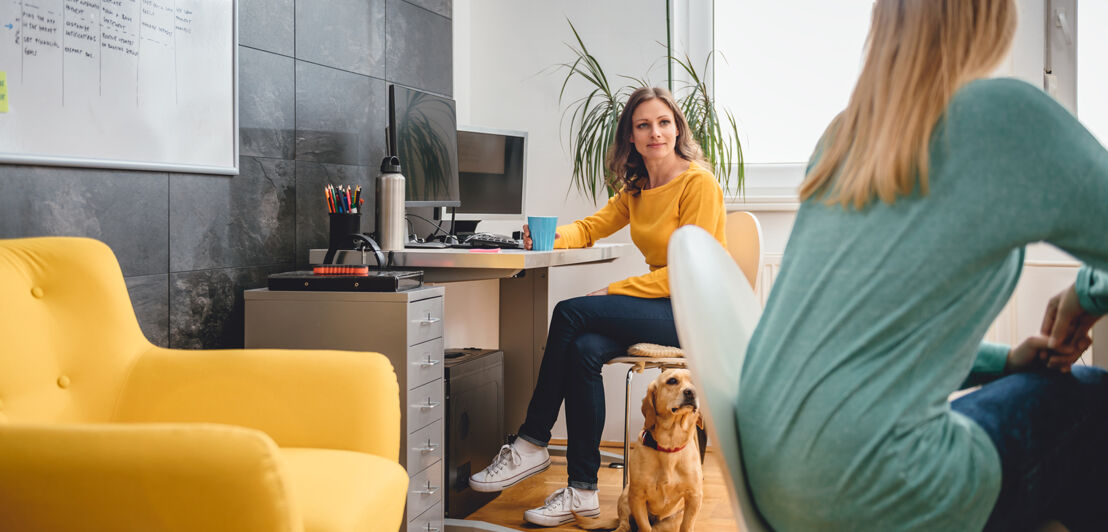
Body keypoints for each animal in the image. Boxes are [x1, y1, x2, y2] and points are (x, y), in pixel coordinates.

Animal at [580, 370, 700, 532]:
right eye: (672, 381)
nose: (691, 392)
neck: (669, 446)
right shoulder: (637, 497)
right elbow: (644, 526)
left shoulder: (694, 497)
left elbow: (687, 525)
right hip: (625, 496)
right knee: (625, 525)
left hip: (669, 522)